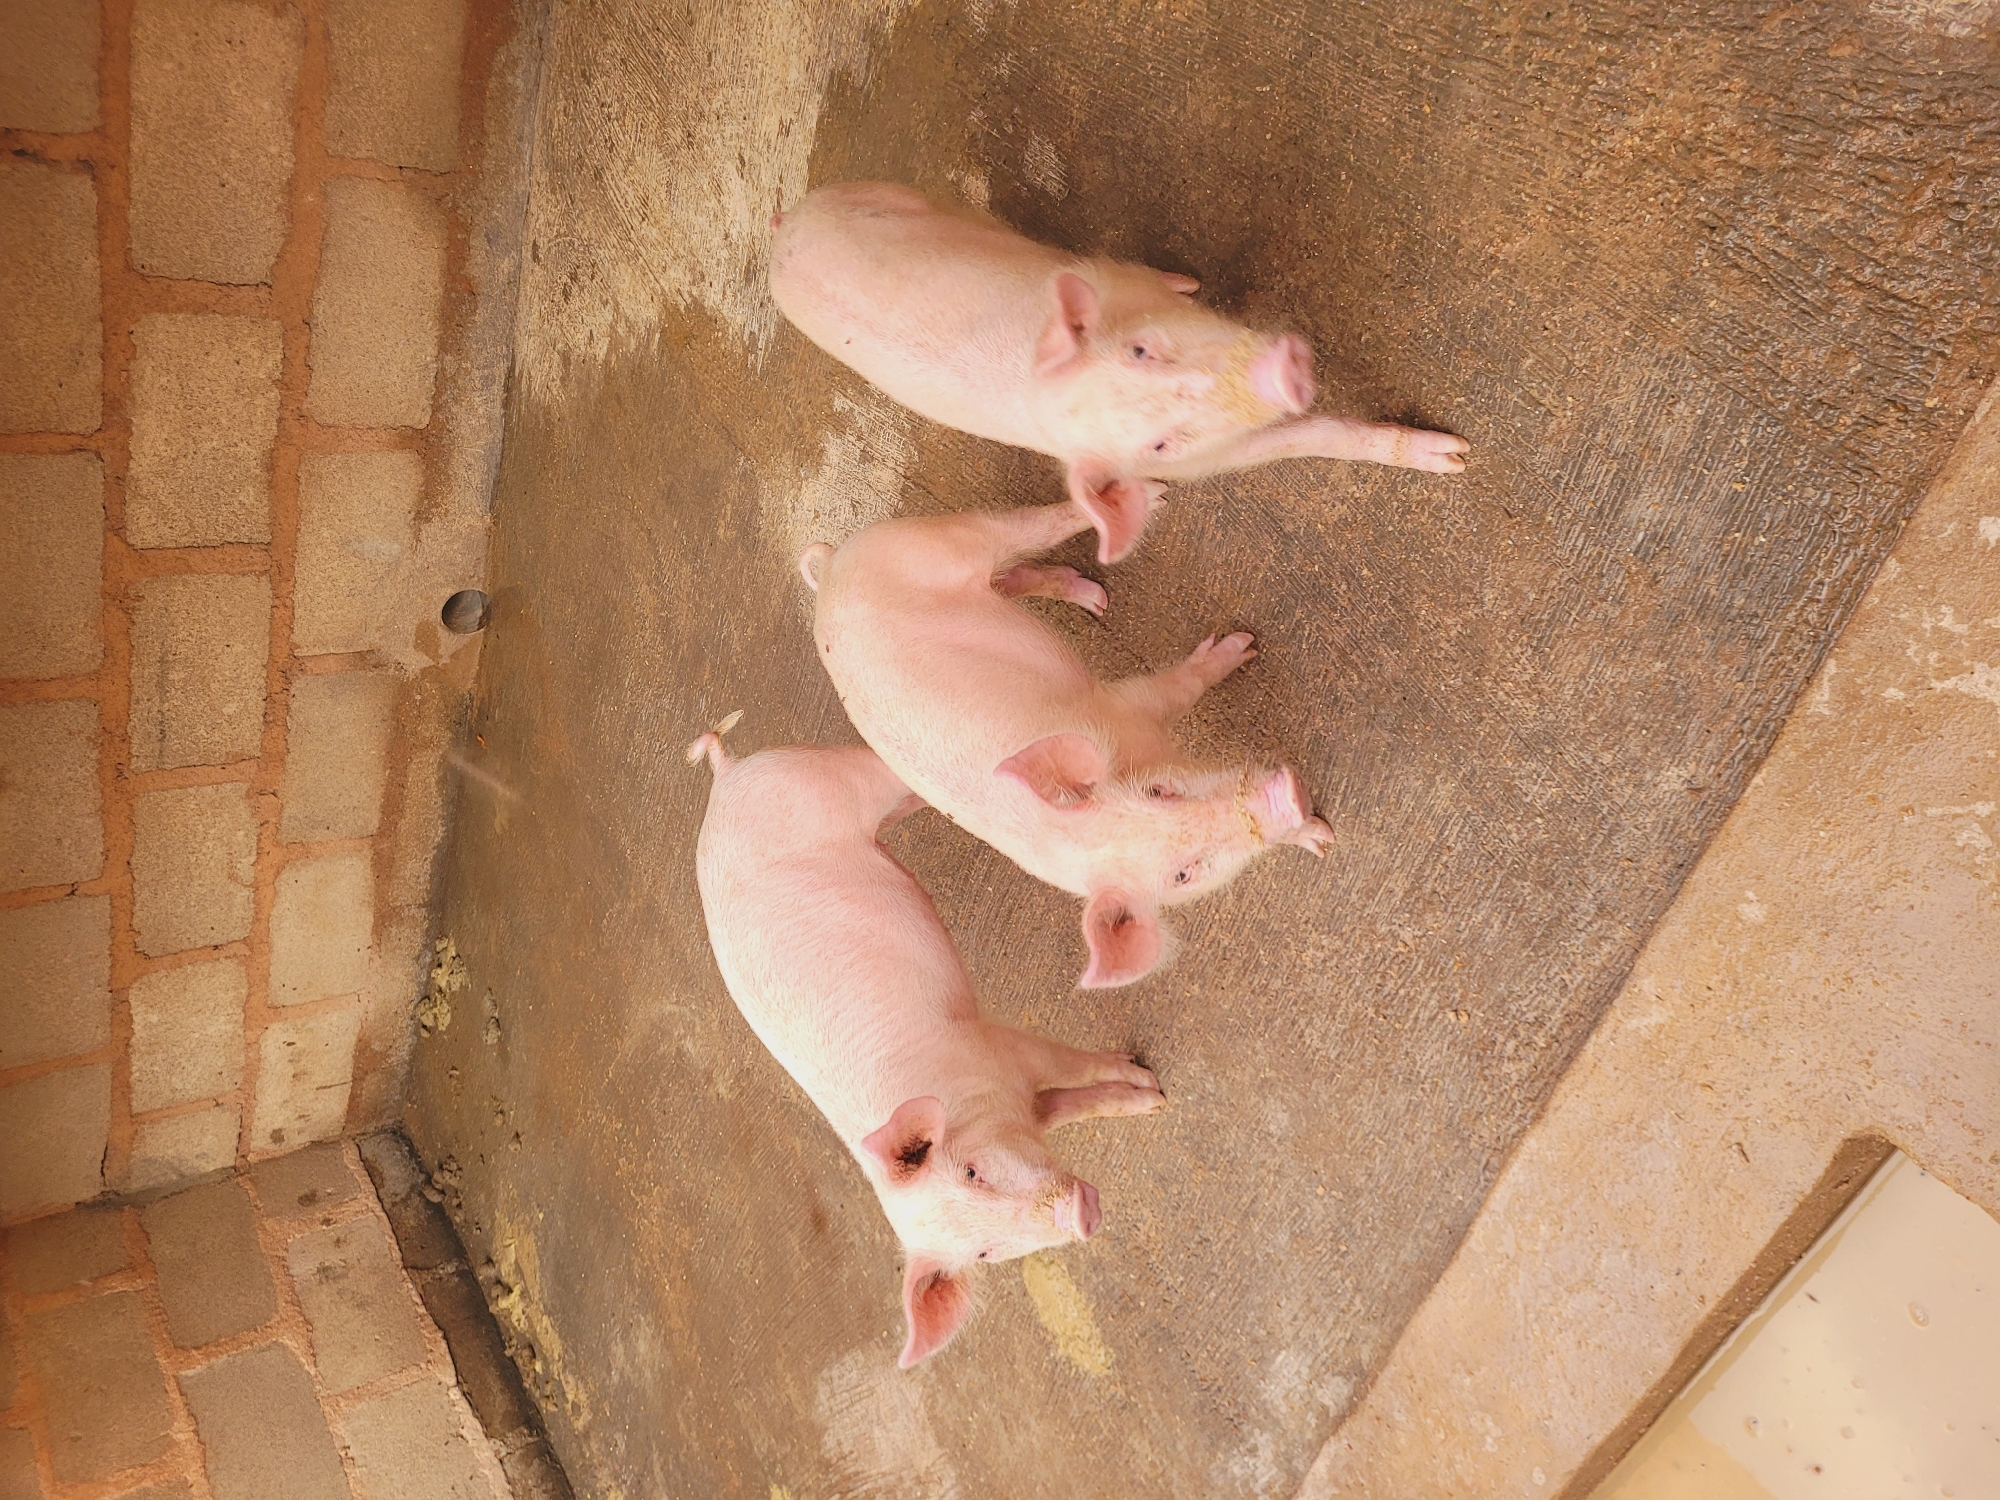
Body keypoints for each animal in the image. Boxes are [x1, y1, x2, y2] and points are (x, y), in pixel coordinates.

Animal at [688, 719, 1166, 1367]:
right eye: (984, 1254)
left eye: (972, 1172)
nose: (1080, 1214)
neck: (976, 1105)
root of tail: (728, 777)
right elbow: (1071, 1107)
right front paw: (1151, 1098)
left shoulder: (998, 1044)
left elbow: (1071, 1065)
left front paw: (1151, 1087)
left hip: (823, 777)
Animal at [769, 180, 1468, 565]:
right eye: (1159, 444)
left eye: (1140, 350)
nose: (1281, 372)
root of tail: (779, 235)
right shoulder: (1207, 460)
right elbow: (1303, 438)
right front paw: (1455, 460)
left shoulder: (1130, 288)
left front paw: (1458, 457)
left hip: (889, 193)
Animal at [802, 500, 1333, 989]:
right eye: (1184, 875)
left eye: (1160, 791)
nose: (1287, 798)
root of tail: (830, 570)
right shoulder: (1128, 709)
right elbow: (1180, 690)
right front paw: (1322, 838)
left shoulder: (1123, 706)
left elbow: (1180, 687)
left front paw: (1244, 645)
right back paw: (1096, 595)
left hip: (934, 540)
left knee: (1024, 534)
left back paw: (1141, 518)